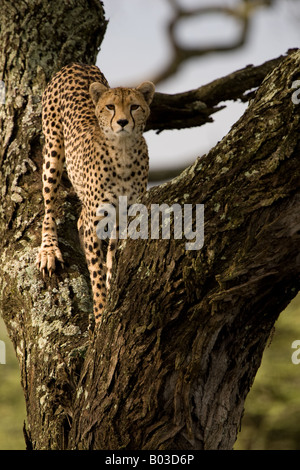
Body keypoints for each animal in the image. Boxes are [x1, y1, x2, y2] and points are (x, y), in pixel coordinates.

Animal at [35, 63, 155, 324]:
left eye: (134, 106)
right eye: (110, 107)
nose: (122, 122)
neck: (122, 153)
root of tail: (77, 64)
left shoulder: (124, 218)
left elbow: (111, 261)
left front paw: (110, 292)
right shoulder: (95, 223)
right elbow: (97, 272)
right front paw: (100, 316)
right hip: (53, 152)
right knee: (49, 207)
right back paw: (49, 249)